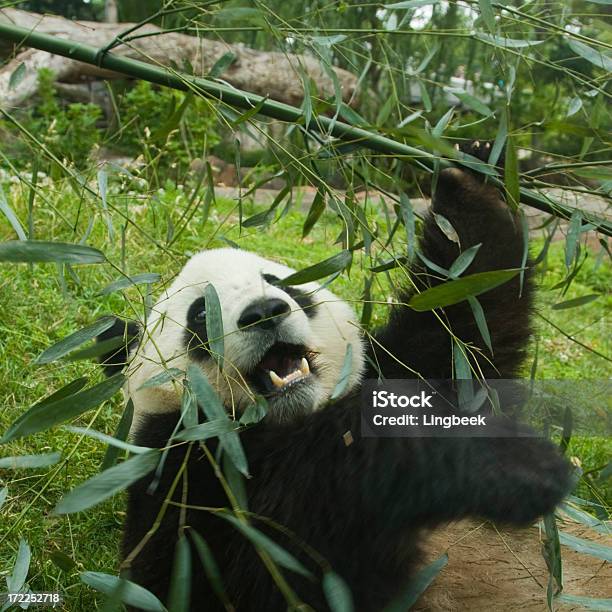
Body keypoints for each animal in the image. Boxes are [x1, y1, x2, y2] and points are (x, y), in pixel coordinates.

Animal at [98, 141, 572, 608]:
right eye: (200, 314)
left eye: (281, 283)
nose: (264, 312)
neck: (294, 416)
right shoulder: (187, 470)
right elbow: (262, 568)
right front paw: (510, 465)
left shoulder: (406, 364)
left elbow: (467, 321)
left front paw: (469, 173)